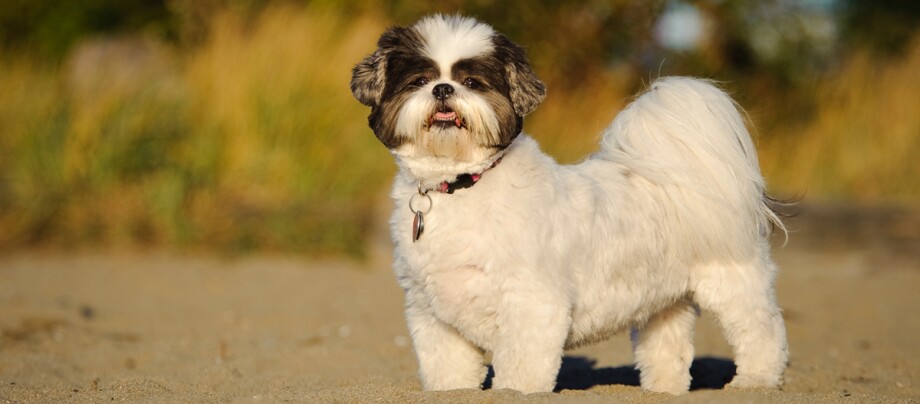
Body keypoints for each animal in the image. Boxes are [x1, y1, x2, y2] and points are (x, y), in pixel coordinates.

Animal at [348, 15, 788, 394]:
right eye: (419, 80)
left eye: (472, 82)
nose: (443, 89)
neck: (463, 184)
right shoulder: (434, 314)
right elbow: (449, 370)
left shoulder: (531, 303)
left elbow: (521, 370)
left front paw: (515, 391)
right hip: (663, 300)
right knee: (668, 344)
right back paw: (663, 389)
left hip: (732, 281)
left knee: (760, 331)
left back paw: (754, 382)